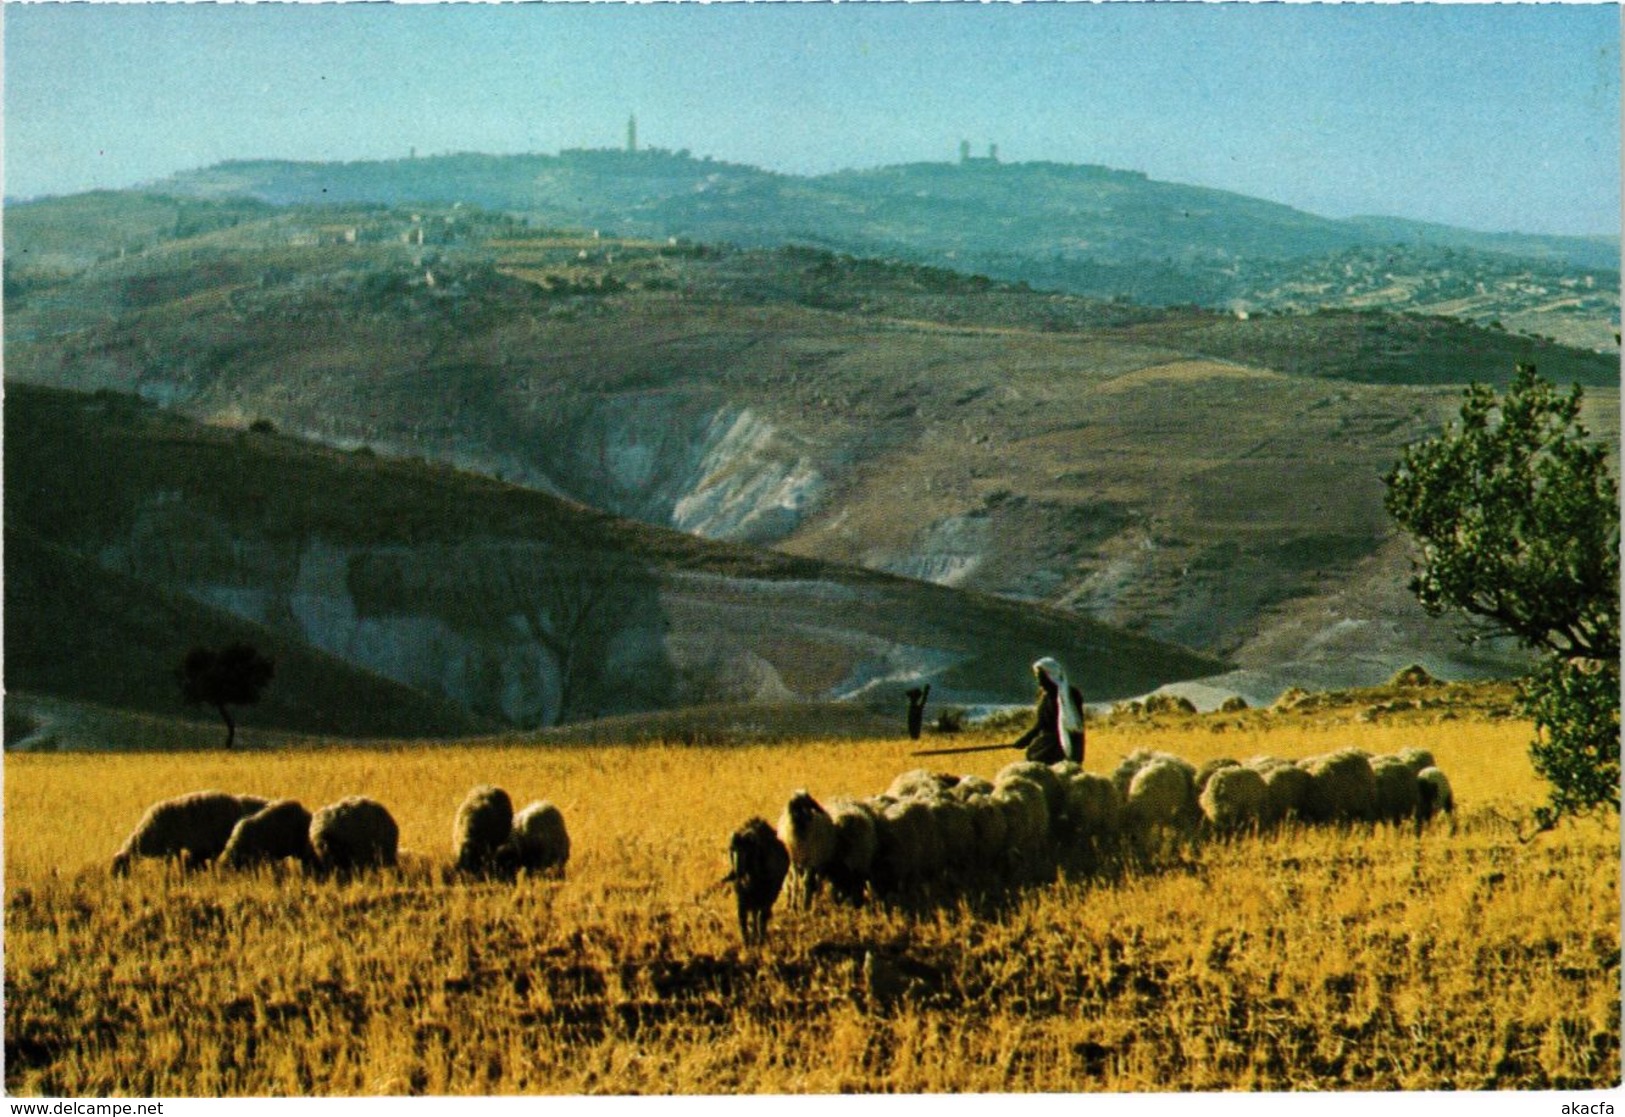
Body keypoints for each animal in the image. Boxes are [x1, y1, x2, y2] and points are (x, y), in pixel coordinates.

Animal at [731, 816, 793, 949]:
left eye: (747, 851)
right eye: (733, 850)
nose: (738, 871)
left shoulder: (766, 899)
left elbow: (761, 918)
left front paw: (759, 941)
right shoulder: (742, 901)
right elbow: (743, 921)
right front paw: (748, 944)